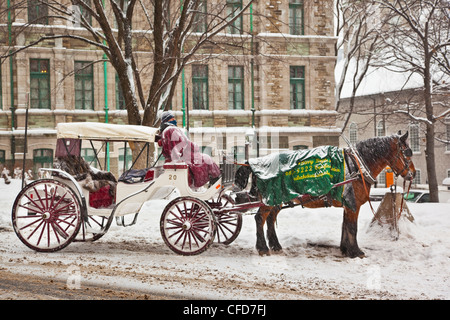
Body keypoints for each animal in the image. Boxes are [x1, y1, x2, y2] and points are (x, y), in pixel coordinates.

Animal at [250, 131, 414, 258]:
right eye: (406, 153)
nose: (413, 174)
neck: (357, 165)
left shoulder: (349, 204)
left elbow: (345, 226)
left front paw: (346, 249)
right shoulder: (353, 204)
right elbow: (352, 227)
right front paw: (356, 252)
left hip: (277, 198)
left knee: (270, 219)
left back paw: (275, 245)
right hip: (269, 199)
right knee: (259, 218)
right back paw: (262, 248)